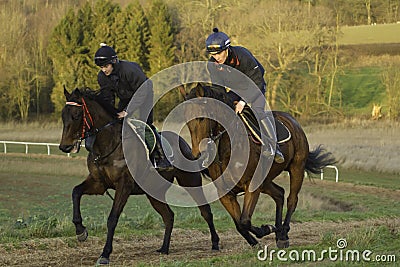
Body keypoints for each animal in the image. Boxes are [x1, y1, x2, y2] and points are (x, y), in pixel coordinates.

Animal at [59, 88, 219, 266]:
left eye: (76, 115)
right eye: (63, 115)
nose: (65, 147)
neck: (107, 145)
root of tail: (185, 144)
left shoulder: (124, 185)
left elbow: (112, 218)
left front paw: (105, 254)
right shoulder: (98, 183)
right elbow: (76, 192)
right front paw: (80, 230)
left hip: (190, 181)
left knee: (205, 211)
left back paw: (215, 243)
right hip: (154, 193)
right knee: (168, 216)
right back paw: (164, 248)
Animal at [180, 84, 334, 249]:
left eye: (201, 117)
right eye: (186, 121)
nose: (197, 155)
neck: (227, 149)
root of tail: (293, 121)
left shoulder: (252, 186)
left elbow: (245, 221)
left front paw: (266, 229)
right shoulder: (226, 193)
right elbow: (240, 224)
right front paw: (257, 240)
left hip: (297, 168)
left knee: (292, 199)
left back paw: (284, 234)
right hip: (265, 180)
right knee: (279, 194)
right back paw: (279, 232)